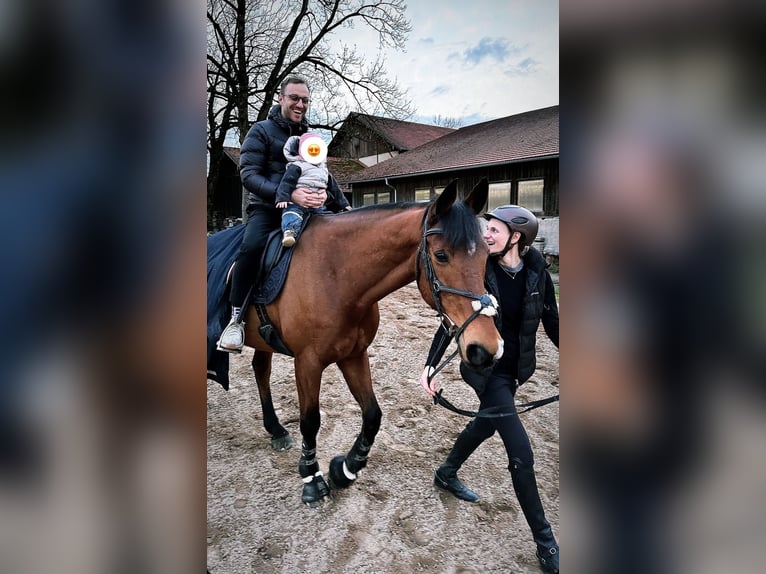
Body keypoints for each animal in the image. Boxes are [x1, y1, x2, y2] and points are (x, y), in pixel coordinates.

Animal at [239, 178, 502, 504]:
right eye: (442, 255)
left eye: (486, 255)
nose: (486, 348)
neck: (336, 274)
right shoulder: (308, 361)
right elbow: (310, 420)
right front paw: (312, 478)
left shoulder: (354, 355)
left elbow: (373, 415)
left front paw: (346, 469)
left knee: (260, 369)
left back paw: (275, 430)